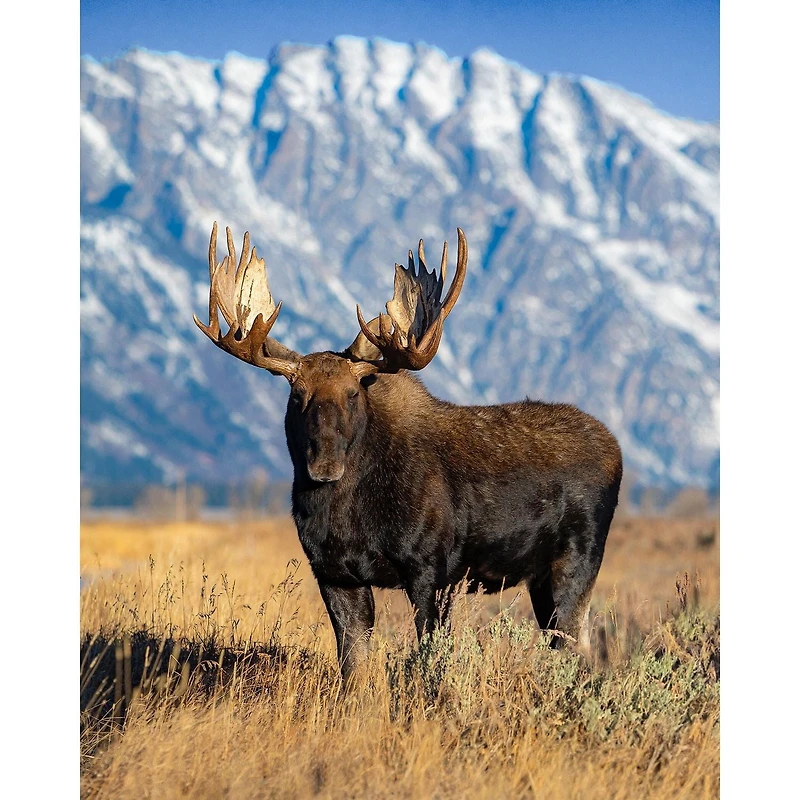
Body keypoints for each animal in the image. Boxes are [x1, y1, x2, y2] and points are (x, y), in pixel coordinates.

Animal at [194, 222, 623, 683]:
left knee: (576, 647)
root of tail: (616, 449)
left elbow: (431, 657)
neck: (348, 513)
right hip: (540, 580)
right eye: (297, 395)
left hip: (577, 562)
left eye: (352, 394)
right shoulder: (333, 573)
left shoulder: (432, 571)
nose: (324, 464)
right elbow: (353, 667)